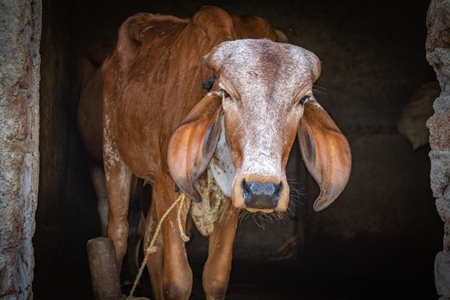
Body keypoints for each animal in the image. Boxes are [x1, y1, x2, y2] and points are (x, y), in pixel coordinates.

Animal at [101, 5, 352, 300]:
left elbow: (215, 278)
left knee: (152, 237)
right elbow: (178, 282)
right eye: (227, 93)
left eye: (302, 99)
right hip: (113, 153)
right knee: (118, 232)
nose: (263, 190)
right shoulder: (167, 183)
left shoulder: (233, 197)